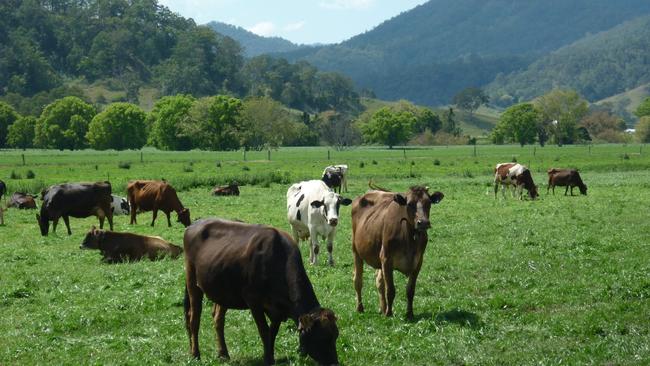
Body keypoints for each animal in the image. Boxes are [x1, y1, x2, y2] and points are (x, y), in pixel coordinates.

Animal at [182, 219, 340, 364]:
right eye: (321, 337)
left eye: (335, 335)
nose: (334, 363)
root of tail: (194, 223)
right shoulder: (254, 301)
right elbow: (264, 331)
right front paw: (268, 359)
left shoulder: (277, 310)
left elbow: (272, 333)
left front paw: (270, 356)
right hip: (192, 280)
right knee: (194, 318)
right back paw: (195, 354)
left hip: (222, 290)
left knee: (218, 319)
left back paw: (223, 354)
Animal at [352, 182, 442, 318]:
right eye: (409, 204)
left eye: (429, 202)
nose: (423, 223)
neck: (409, 236)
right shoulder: (386, 259)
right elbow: (391, 290)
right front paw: (389, 314)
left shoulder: (418, 262)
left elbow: (410, 290)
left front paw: (409, 313)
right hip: (356, 250)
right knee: (358, 281)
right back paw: (360, 307)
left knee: (379, 282)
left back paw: (382, 308)